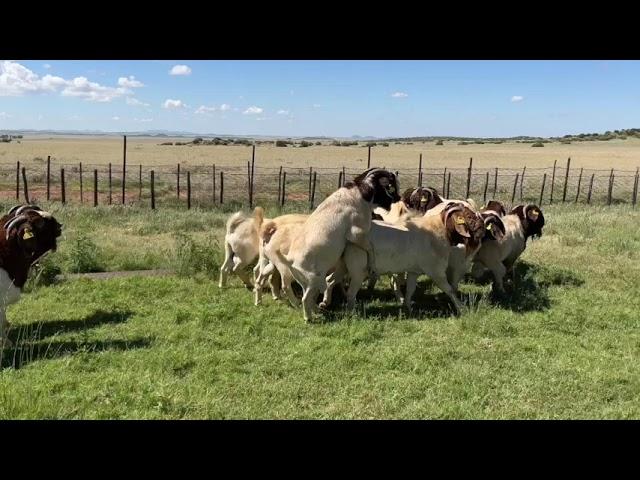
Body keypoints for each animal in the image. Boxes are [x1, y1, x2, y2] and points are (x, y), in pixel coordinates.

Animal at [282, 167, 400, 320]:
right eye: (390, 186)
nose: (399, 198)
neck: (358, 194)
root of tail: (290, 260)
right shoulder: (356, 233)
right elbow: (369, 247)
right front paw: (372, 266)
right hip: (313, 280)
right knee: (306, 298)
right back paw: (309, 318)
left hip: (304, 281)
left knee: (310, 297)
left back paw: (318, 310)